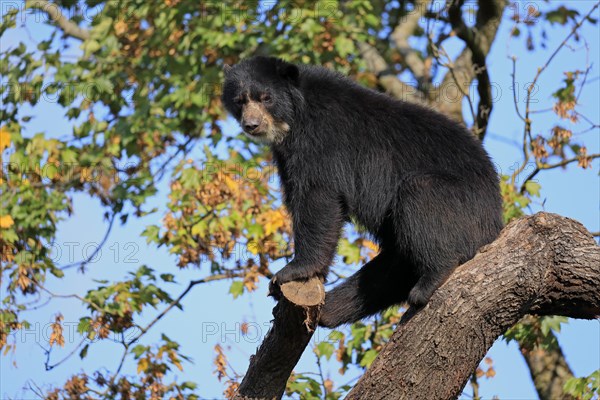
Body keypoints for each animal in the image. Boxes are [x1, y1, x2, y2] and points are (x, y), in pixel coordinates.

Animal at [220, 56, 502, 326]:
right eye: (239, 101)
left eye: (265, 97)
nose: (251, 124)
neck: (294, 120)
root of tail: (496, 219)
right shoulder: (286, 157)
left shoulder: (321, 141)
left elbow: (318, 198)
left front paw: (291, 272)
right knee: (386, 274)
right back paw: (330, 310)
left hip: (460, 204)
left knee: (421, 199)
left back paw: (430, 280)